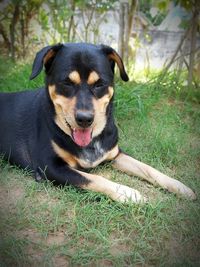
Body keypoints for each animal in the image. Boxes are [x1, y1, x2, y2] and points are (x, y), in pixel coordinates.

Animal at [0, 43, 196, 203]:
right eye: (67, 83)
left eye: (99, 84)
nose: (85, 119)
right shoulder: (51, 167)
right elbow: (94, 179)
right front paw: (128, 193)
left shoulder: (114, 154)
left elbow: (147, 168)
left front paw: (179, 187)